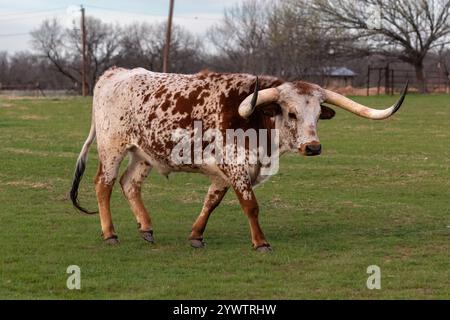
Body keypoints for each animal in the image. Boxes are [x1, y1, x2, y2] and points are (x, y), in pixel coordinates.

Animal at [69, 68, 408, 252]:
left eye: (316, 115)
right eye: (291, 113)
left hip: (144, 153)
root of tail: (115, 73)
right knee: (103, 185)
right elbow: (250, 205)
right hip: (113, 147)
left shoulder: (223, 174)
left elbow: (211, 202)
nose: (313, 147)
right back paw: (110, 234)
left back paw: (146, 228)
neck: (256, 119)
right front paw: (261, 242)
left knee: (129, 184)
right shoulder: (237, 168)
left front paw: (196, 236)